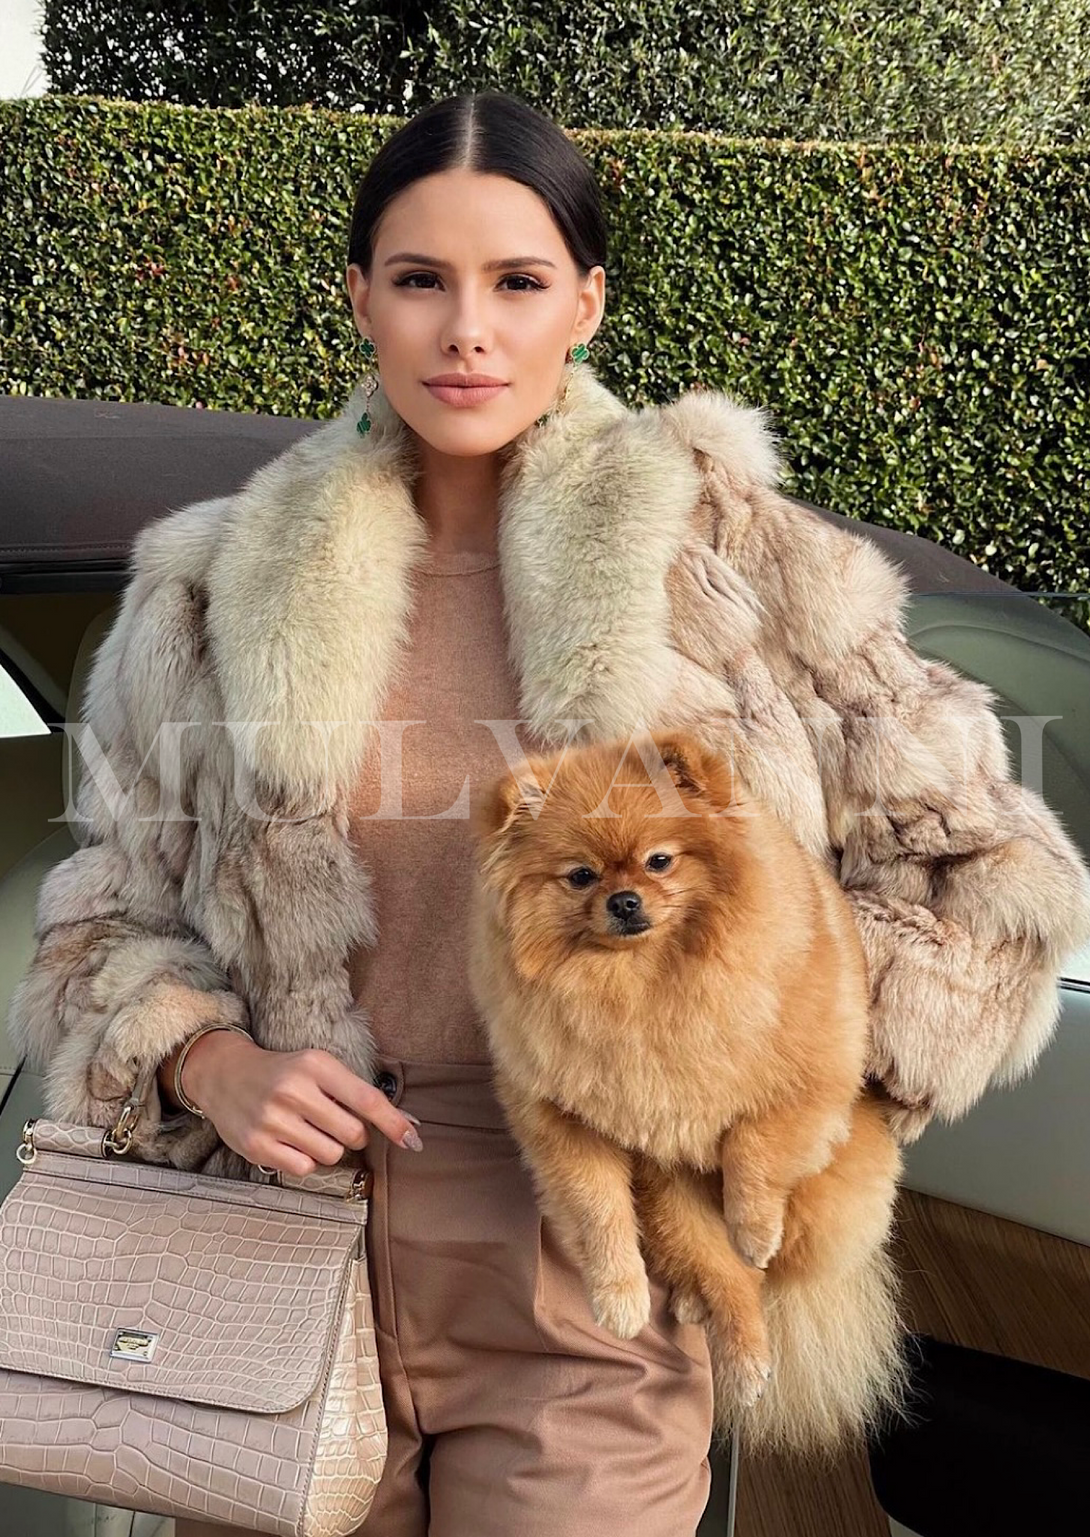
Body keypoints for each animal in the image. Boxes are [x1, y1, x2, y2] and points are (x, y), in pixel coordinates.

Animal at [467, 728, 910, 1450]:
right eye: (581, 874)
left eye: (659, 861)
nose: (624, 900)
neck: (641, 985)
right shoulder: (562, 1119)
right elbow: (598, 1210)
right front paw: (618, 1296)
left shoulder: (814, 1080)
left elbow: (754, 1145)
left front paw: (754, 1224)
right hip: (673, 1205)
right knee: (728, 1280)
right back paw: (734, 1343)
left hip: (829, 1194)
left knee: (765, 1266)